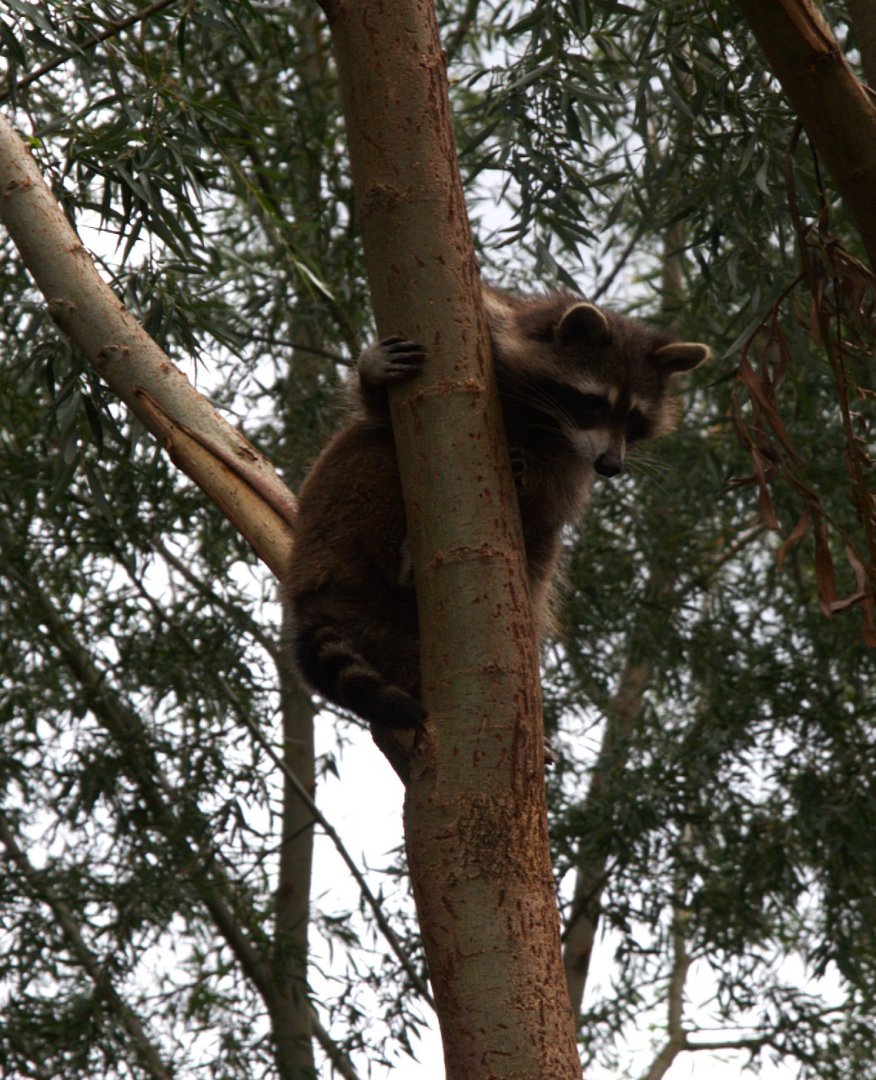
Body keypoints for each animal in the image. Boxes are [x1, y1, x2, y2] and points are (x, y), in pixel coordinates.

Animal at [285, 286, 709, 731]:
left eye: (634, 417)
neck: (541, 415)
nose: (611, 466)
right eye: (593, 402)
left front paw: (529, 477)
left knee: (540, 545)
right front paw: (370, 370)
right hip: (331, 522)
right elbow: (378, 413)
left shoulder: (572, 456)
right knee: (370, 446)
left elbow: (552, 499)